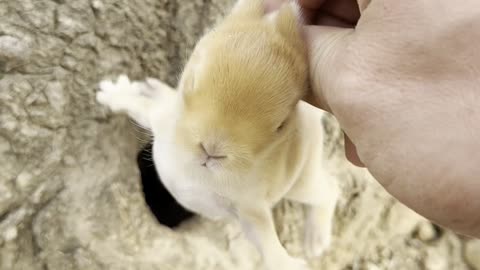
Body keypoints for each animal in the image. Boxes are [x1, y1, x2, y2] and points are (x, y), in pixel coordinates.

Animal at [96, 1, 338, 268]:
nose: (212, 149)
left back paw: (316, 241)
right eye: (192, 80)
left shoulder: (249, 209)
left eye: (281, 125)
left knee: (330, 190)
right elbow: (140, 107)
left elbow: (265, 240)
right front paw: (110, 93)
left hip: (301, 183)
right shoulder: (160, 120)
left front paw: (289, 263)